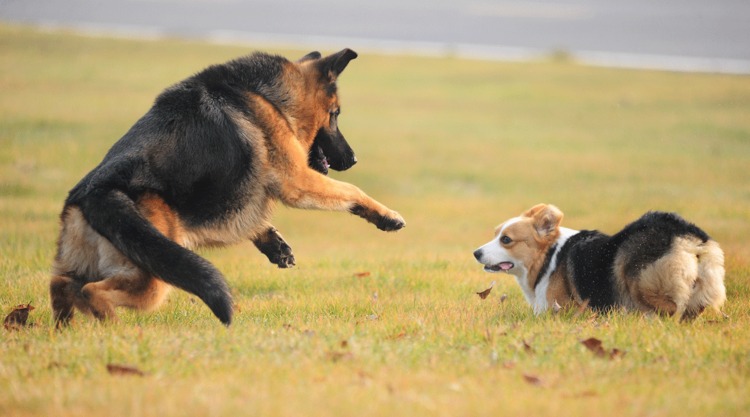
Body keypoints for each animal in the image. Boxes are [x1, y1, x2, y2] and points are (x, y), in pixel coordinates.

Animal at [50, 48, 406, 326]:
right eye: (335, 115)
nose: (354, 158)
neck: (270, 97)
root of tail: (94, 192)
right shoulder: (297, 181)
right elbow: (351, 190)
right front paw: (386, 216)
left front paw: (272, 243)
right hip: (153, 278)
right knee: (91, 291)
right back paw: (111, 326)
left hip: (84, 264)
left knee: (61, 285)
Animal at [476, 202, 728, 318]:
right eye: (496, 234)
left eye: (506, 240)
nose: (475, 253)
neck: (547, 257)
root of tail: (689, 236)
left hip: (634, 273)